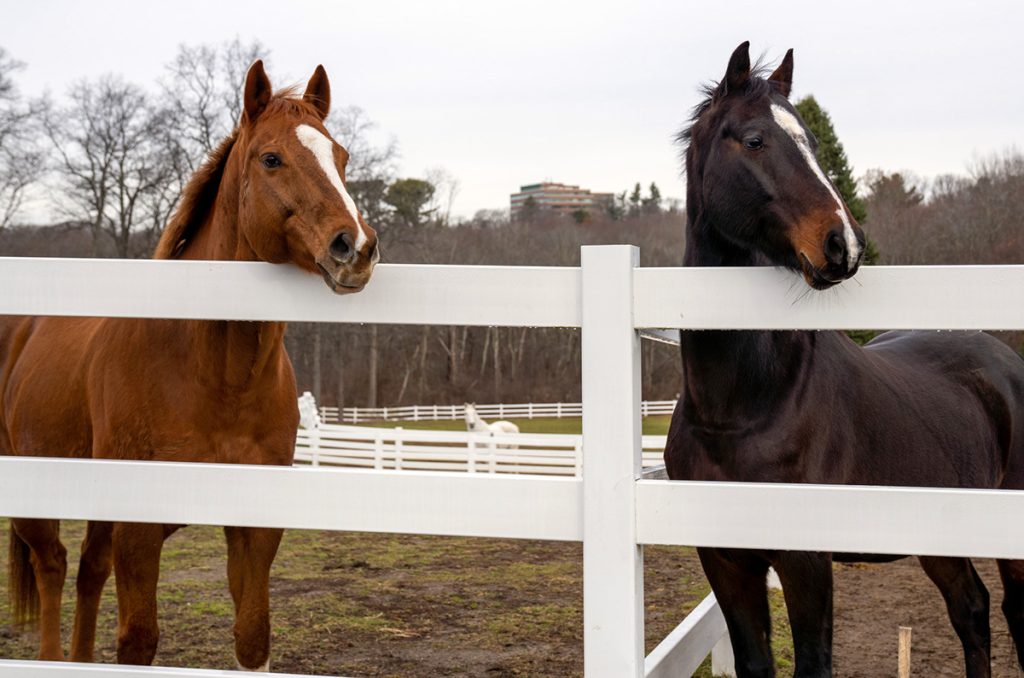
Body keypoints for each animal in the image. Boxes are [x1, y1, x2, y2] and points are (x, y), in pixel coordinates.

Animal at [0, 61, 380, 671]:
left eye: (340, 156)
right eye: (271, 158)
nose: (357, 248)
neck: (214, 376)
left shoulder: (253, 523)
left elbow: (252, 637)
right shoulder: (138, 527)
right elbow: (138, 641)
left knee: (86, 571)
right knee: (52, 565)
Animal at [663, 43, 1024, 678]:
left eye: (810, 138)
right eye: (754, 139)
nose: (844, 245)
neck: (744, 408)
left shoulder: (806, 559)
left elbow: (814, 662)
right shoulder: (725, 559)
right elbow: (755, 662)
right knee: (972, 610)